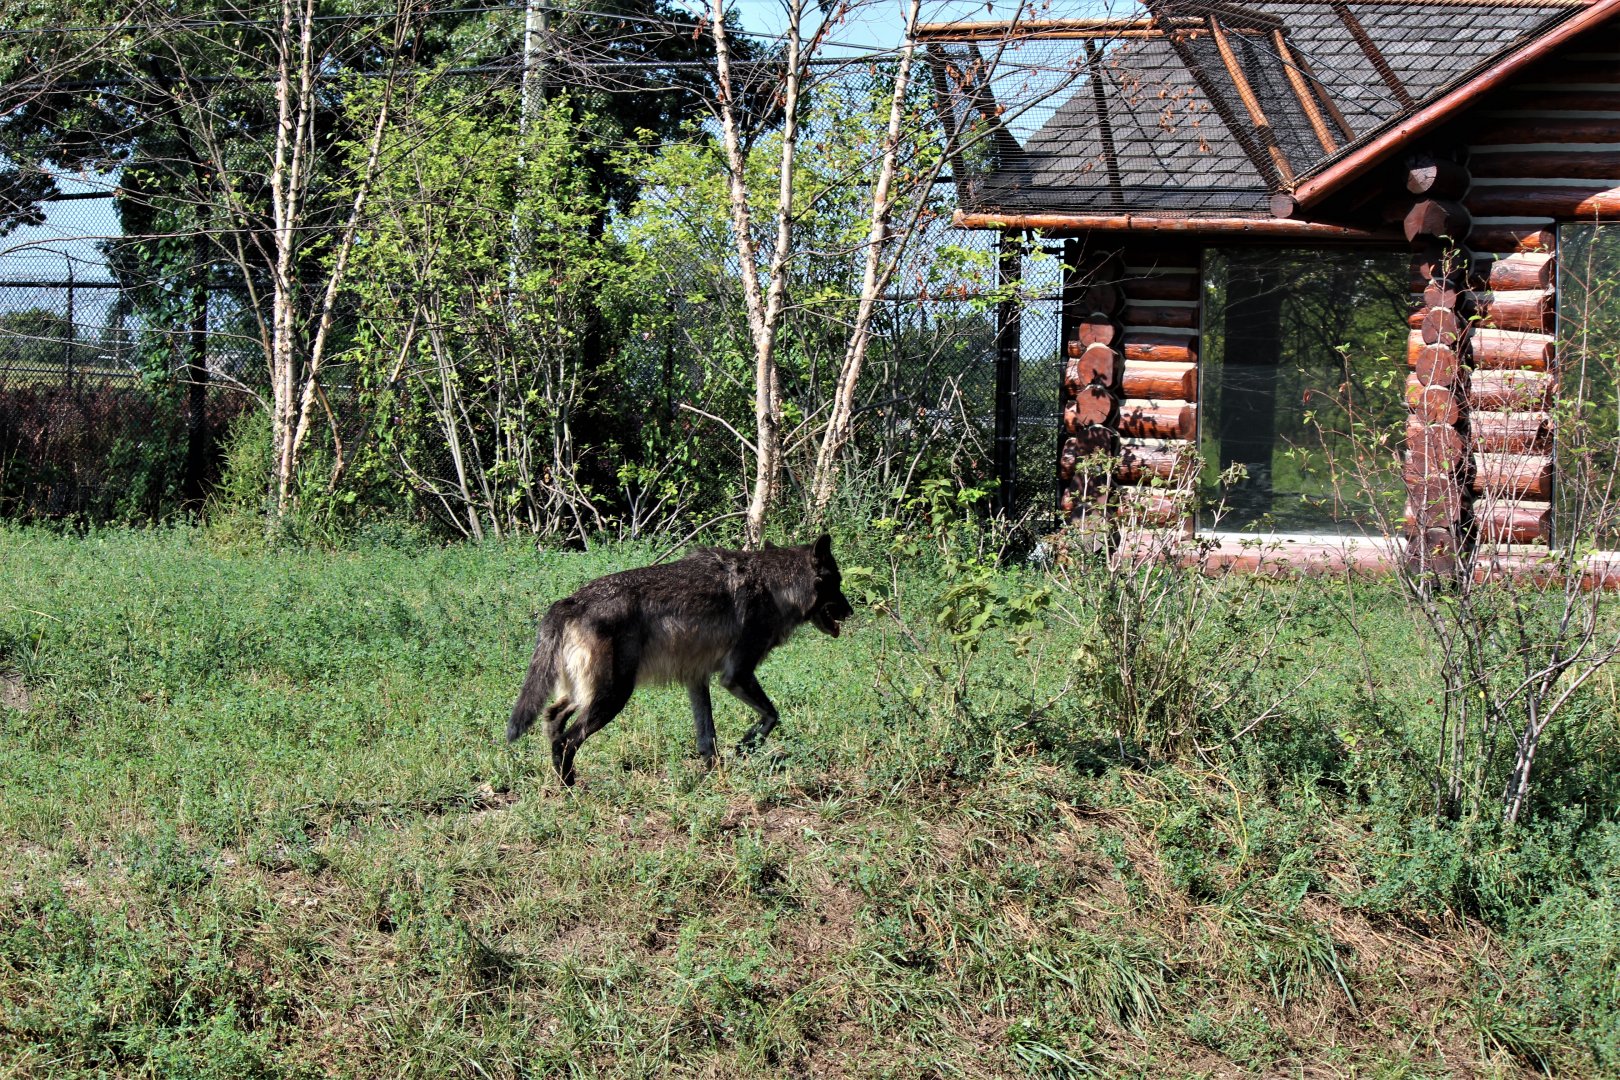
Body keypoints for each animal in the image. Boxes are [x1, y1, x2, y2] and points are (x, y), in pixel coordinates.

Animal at [506, 534, 853, 785]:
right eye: (837, 583)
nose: (850, 612)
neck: (775, 585)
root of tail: (571, 601)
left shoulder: (697, 679)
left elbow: (707, 737)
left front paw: (715, 774)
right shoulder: (736, 676)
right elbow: (771, 715)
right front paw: (745, 746)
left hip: (586, 695)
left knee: (553, 718)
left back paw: (560, 780)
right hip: (611, 698)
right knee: (566, 741)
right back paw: (571, 788)